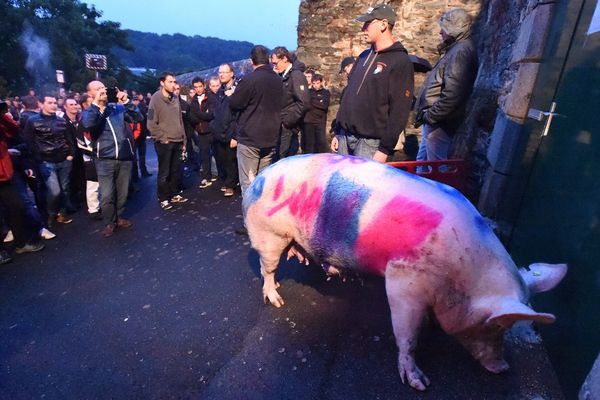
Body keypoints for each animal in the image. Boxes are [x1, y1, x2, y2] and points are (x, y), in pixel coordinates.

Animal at [243, 153, 568, 390]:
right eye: (497, 326)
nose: (503, 368)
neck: (462, 275)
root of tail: (258, 177)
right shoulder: (403, 280)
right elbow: (407, 334)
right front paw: (420, 384)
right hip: (268, 234)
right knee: (266, 268)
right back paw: (277, 300)